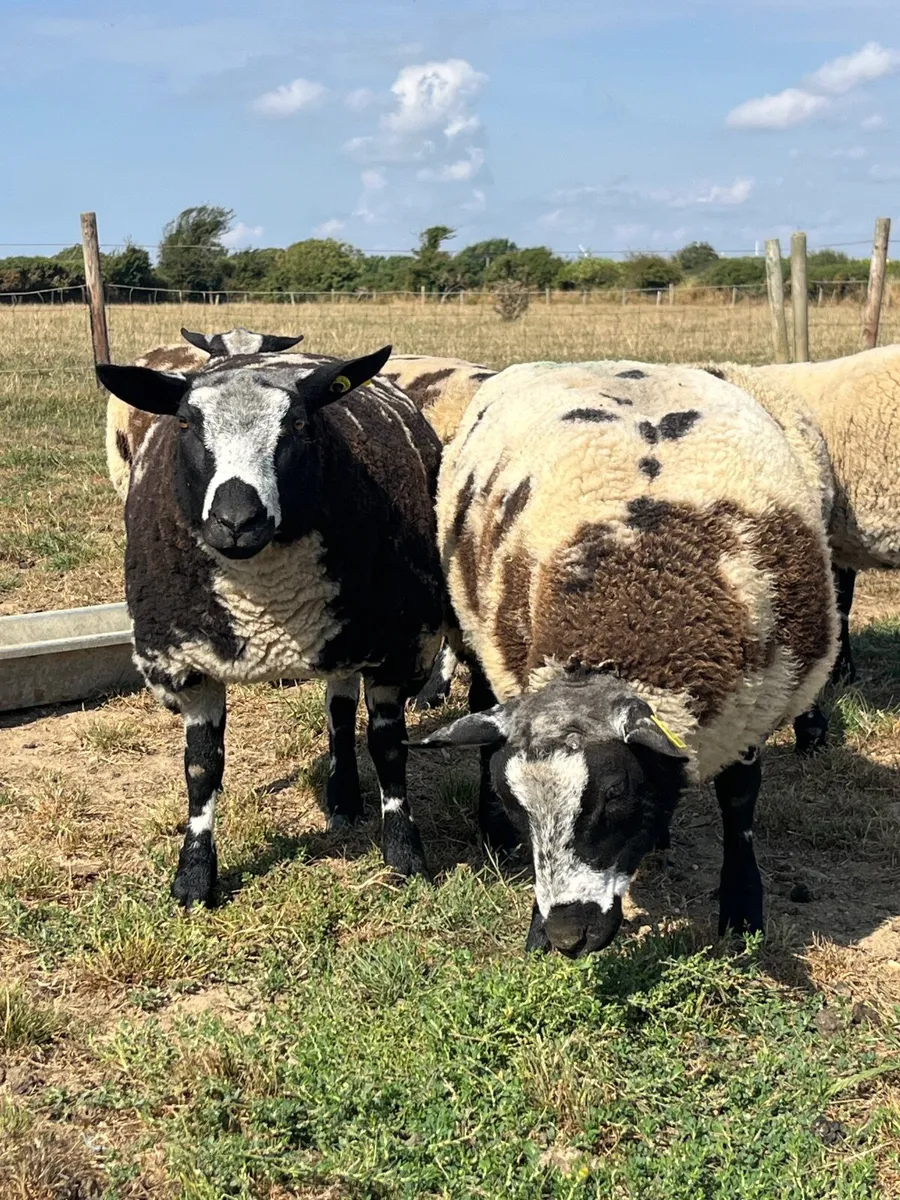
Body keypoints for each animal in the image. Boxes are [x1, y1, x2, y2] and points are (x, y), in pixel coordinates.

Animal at [96, 343, 446, 906]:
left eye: (300, 424)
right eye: (186, 422)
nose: (237, 520)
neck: (269, 604)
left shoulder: (401, 647)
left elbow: (390, 751)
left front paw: (404, 854)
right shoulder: (186, 663)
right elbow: (202, 768)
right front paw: (193, 878)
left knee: (341, 708)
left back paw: (344, 799)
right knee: (339, 704)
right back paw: (342, 799)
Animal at [409, 360, 837, 956]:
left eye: (616, 793)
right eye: (516, 804)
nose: (568, 934)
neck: (640, 598)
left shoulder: (754, 705)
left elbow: (739, 804)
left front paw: (742, 912)